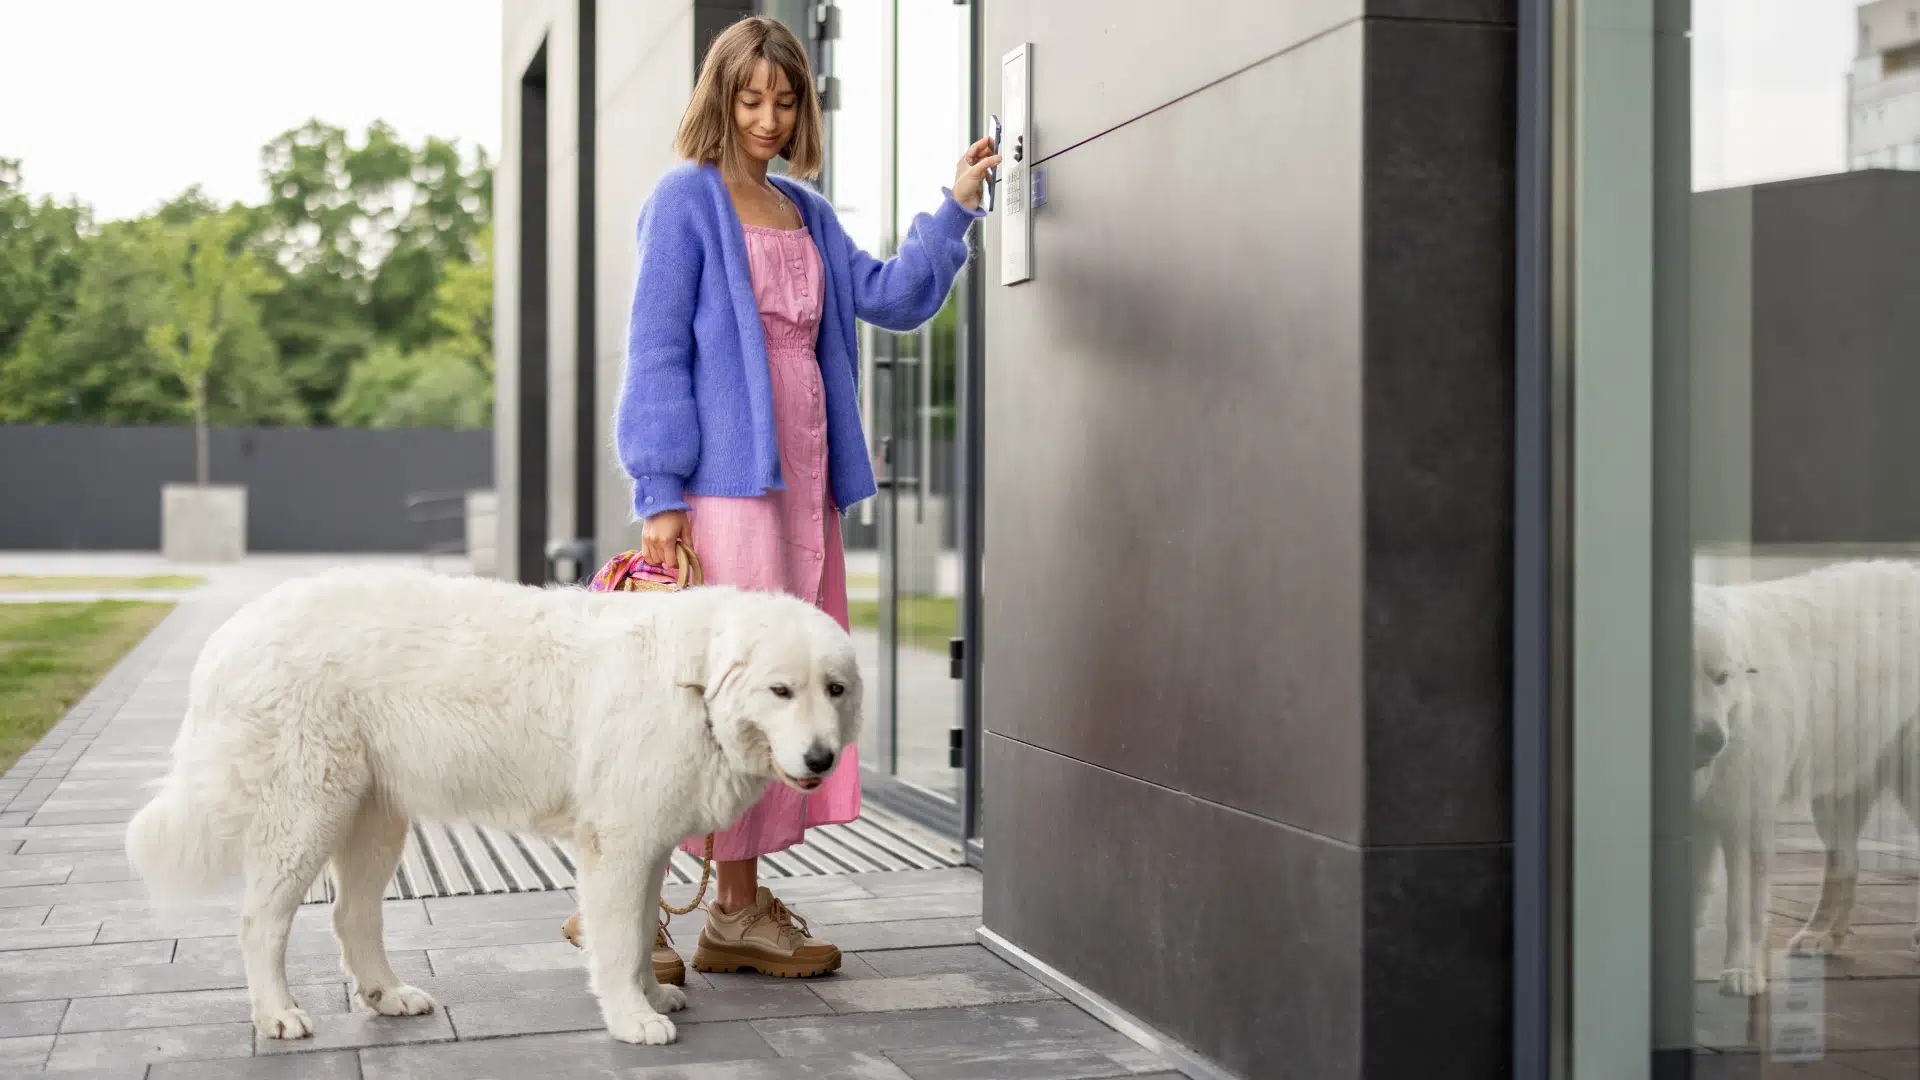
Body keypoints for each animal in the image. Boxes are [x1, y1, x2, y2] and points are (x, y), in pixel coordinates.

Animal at [123, 564, 860, 1045]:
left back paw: (387, 994)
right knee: (261, 922)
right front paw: (631, 1019)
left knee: (350, 917)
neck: (694, 681)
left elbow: (638, 934)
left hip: (372, 821)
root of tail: (231, 633)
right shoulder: (618, 847)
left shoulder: (644, 845)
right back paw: (275, 1013)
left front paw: (650, 997)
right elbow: (619, 941)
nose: (822, 760)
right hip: (306, 813)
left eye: (835, 689)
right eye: (780, 691)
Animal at [1689, 564, 1920, 991]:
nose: (1712, 741)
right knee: (1845, 861)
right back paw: (1822, 935)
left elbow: (1741, 905)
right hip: (1837, 788)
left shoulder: (1745, 807)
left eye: (1722, 677)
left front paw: (1742, 973)